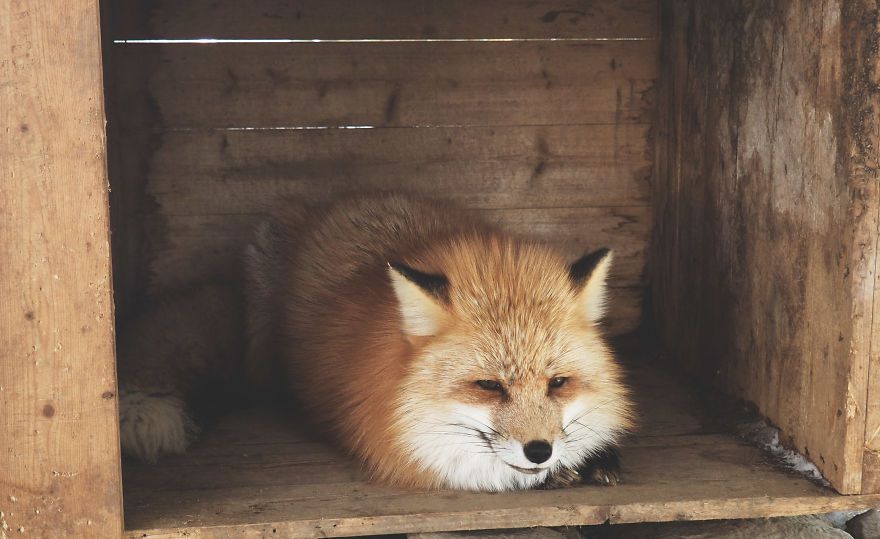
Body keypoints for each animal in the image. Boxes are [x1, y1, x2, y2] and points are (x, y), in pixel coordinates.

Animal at [117, 194, 632, 494]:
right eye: (488, 386)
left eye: (558, 383)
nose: (540, 451)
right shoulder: (394, 443)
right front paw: (555, 473)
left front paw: (590, 458)